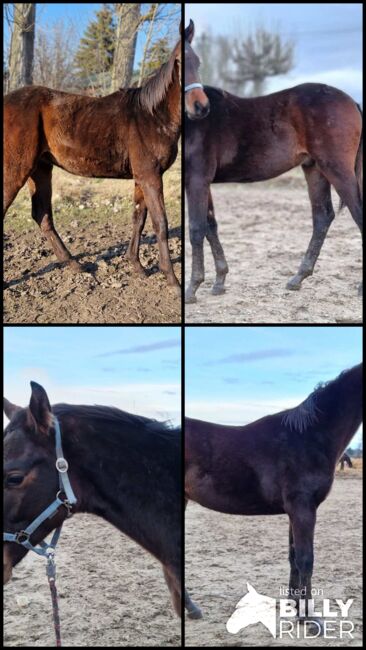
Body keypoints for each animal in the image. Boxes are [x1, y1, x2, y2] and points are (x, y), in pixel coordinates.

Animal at [5, 31, 182, 288]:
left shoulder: (143, 178)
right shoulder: (150, 177)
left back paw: (74, 264)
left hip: (40, 170)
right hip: (16, 169)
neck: (153, 115)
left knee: (42, 216)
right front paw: (172, 279)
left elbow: (138, 218)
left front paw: (137, 266)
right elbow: (161, 223)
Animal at [184, 20, 362, 302]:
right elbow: (211, 226)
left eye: (197, 62)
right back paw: (298, 278)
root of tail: (351, 101)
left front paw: (192, 288)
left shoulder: (197, 180)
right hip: (314, 169)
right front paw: (219, 281)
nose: (200, 107)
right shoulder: (202, 183)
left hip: (337, 170)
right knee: (322, 216)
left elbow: (196, 229)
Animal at [186, 364, 364, 616]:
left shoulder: (296, 511)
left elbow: (293, 557)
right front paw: (309, 616)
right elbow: (305, 560)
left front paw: (294, 605)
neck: (309, 436)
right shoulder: (302, 508)